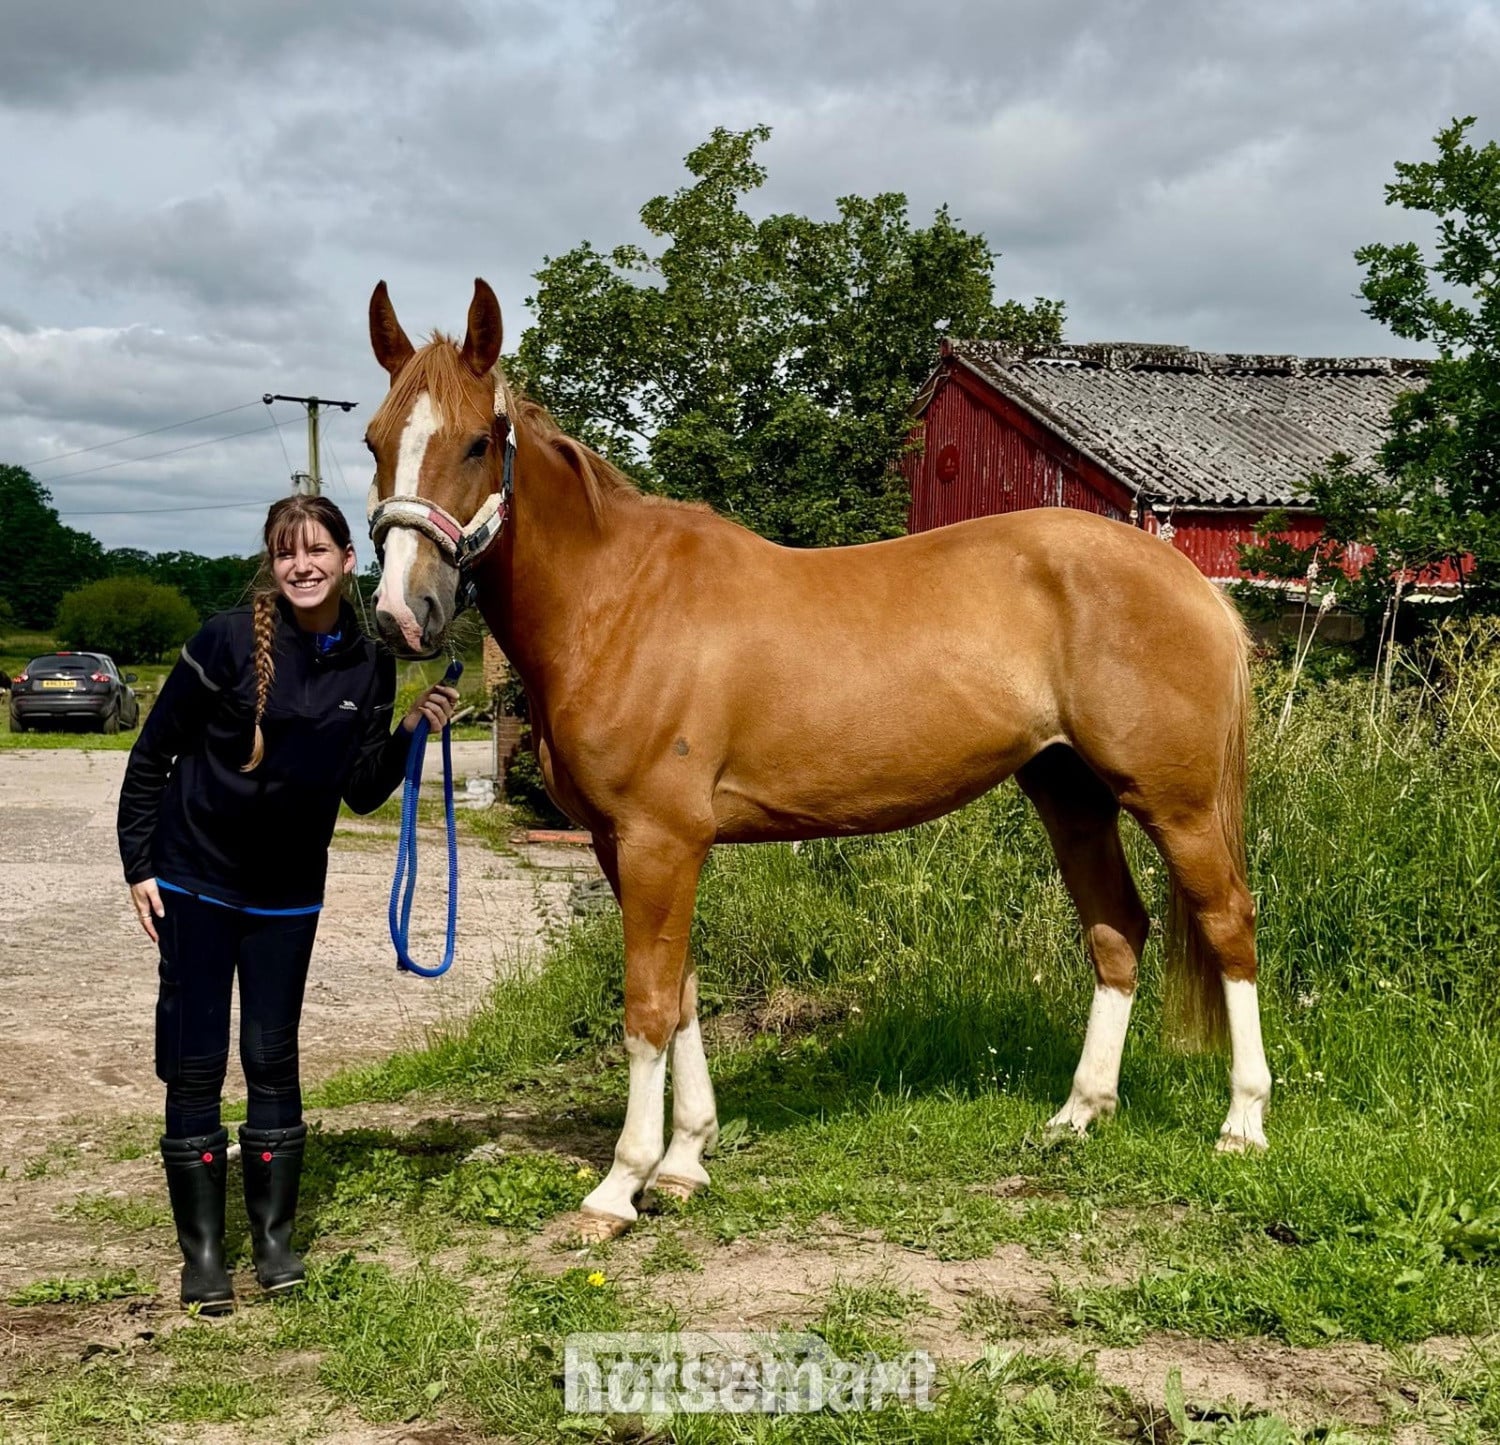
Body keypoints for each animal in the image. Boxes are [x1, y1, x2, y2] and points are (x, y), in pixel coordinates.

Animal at [363, 278, 1272, 1240]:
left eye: (477, 440)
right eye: (375, 441)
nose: (402, 614)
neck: (619, 600)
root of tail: (1191, 582)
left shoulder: (658, 841)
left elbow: (647, 1006)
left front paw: (620, 1185)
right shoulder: (628, 847)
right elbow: (684, 991)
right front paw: (686, 1161)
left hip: (1175, 804)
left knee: (1228, 925)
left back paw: (1242, 1122)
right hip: (1070, 793)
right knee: (1117, 931)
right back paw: (1078, 1113)